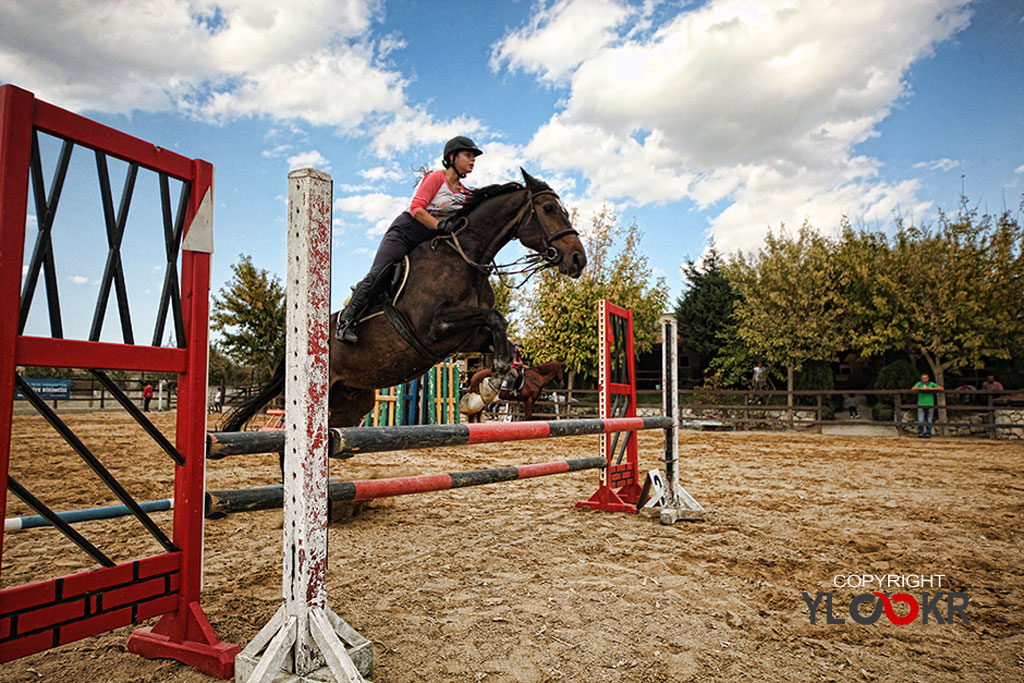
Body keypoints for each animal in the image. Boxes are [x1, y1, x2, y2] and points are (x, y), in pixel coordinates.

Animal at [223, 167, 585, 430]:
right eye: (549, 208)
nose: (578, 259)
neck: (466, 256)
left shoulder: (468, 335)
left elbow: (505, 340)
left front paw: (488, 387)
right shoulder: (434, 326)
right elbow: (497, 319)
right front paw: (488, 386)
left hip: (351, 399)